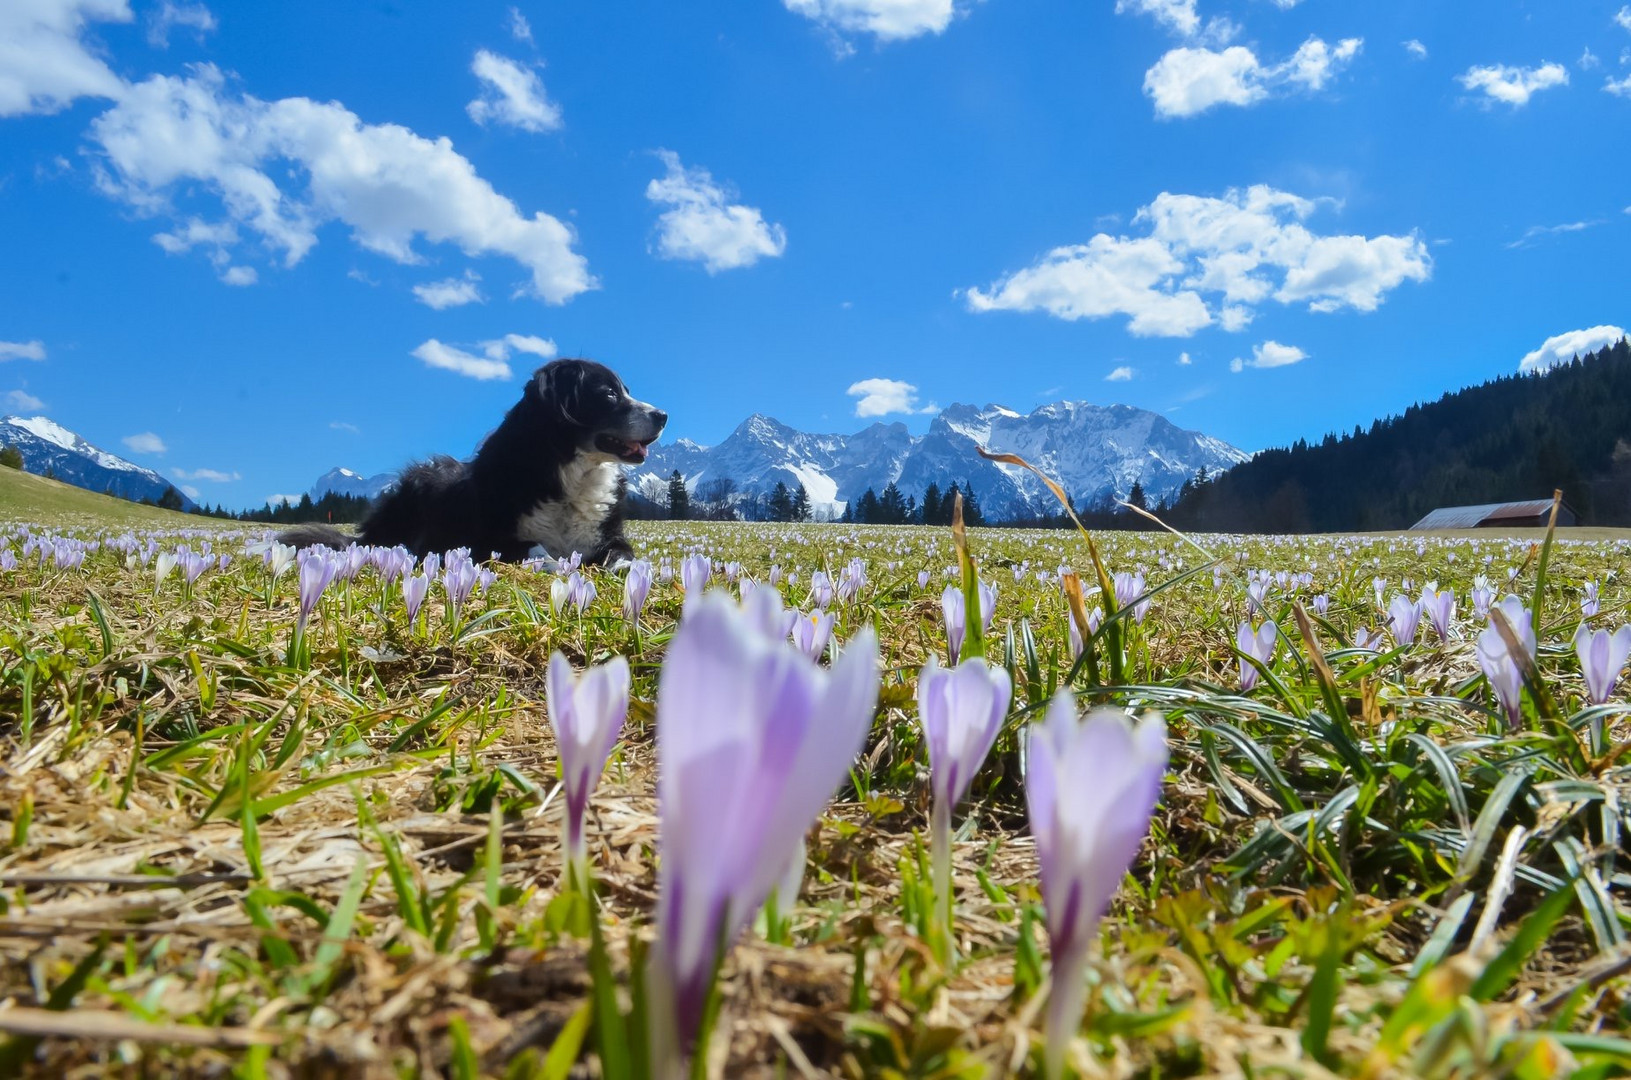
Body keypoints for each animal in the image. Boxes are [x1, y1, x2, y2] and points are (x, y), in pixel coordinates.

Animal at [282, 362, 668, 567]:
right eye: (609, 394)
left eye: (626, 389)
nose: (663, 415)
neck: (567, 477)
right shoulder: (483, 540)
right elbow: (536, 548)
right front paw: (555, 564)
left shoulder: (610, 535)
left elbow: (622, 554)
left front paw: (623, 568)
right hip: (418, 483)